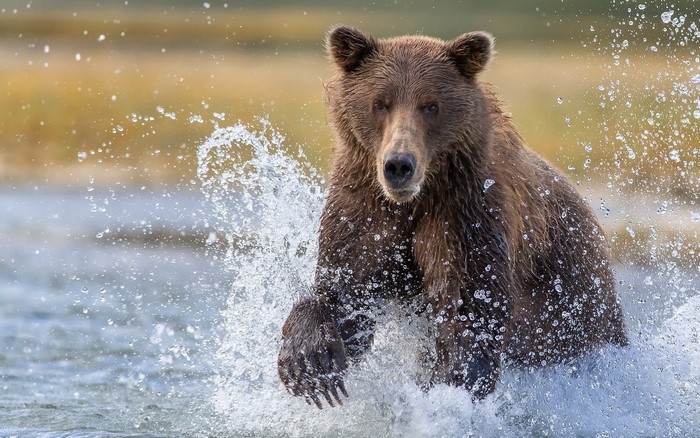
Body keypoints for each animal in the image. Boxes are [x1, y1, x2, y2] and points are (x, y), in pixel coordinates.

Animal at [277, 25, 628, 408]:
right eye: (380, 103)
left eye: (430, 105)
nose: (398, 165)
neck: (416, 200)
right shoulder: (365, 210)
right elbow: (346, 293)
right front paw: (311, 363)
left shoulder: (466, 214)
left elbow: (469, 311)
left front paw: (447, 390)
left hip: (575, 308)